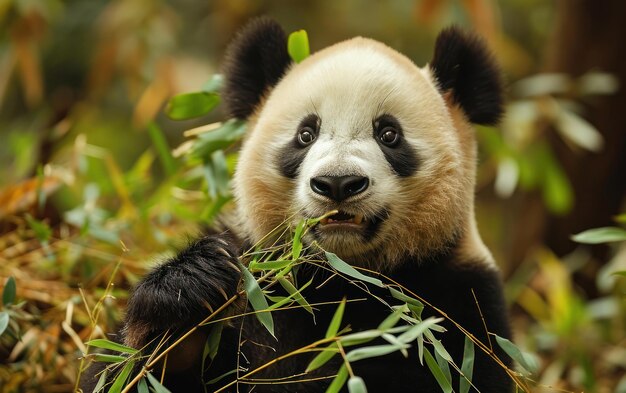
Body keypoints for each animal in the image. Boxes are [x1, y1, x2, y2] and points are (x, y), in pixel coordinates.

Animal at [84, 16, 512, 392]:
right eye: (306, 134)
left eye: (389, 134)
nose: (338, 183)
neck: (342, 277)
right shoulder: (260, 280)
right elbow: (115, 372)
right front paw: (186, 305)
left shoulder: (461, 304)